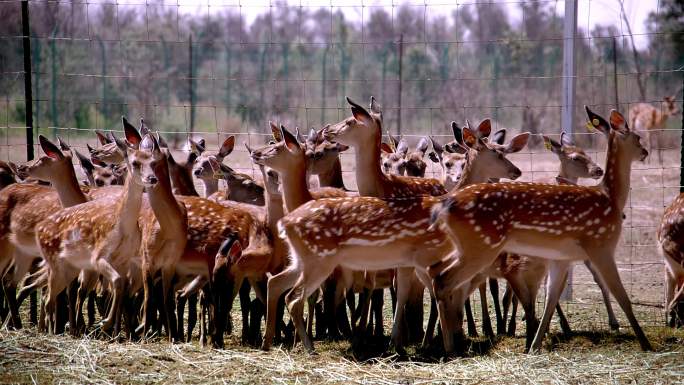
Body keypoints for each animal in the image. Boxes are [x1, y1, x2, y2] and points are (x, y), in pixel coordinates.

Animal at [430, 106, 656, 352]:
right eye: (637, 137)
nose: (645, 151)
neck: (611, 197)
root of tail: (446, 204)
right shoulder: (601, 244)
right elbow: (621, 295)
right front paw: (646, 343)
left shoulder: (562, 258)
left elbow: (550, 298)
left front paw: (535, 344)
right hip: (481, 247)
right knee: (445, 281)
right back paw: (451, 345)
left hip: (468, 249)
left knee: (440, 275)